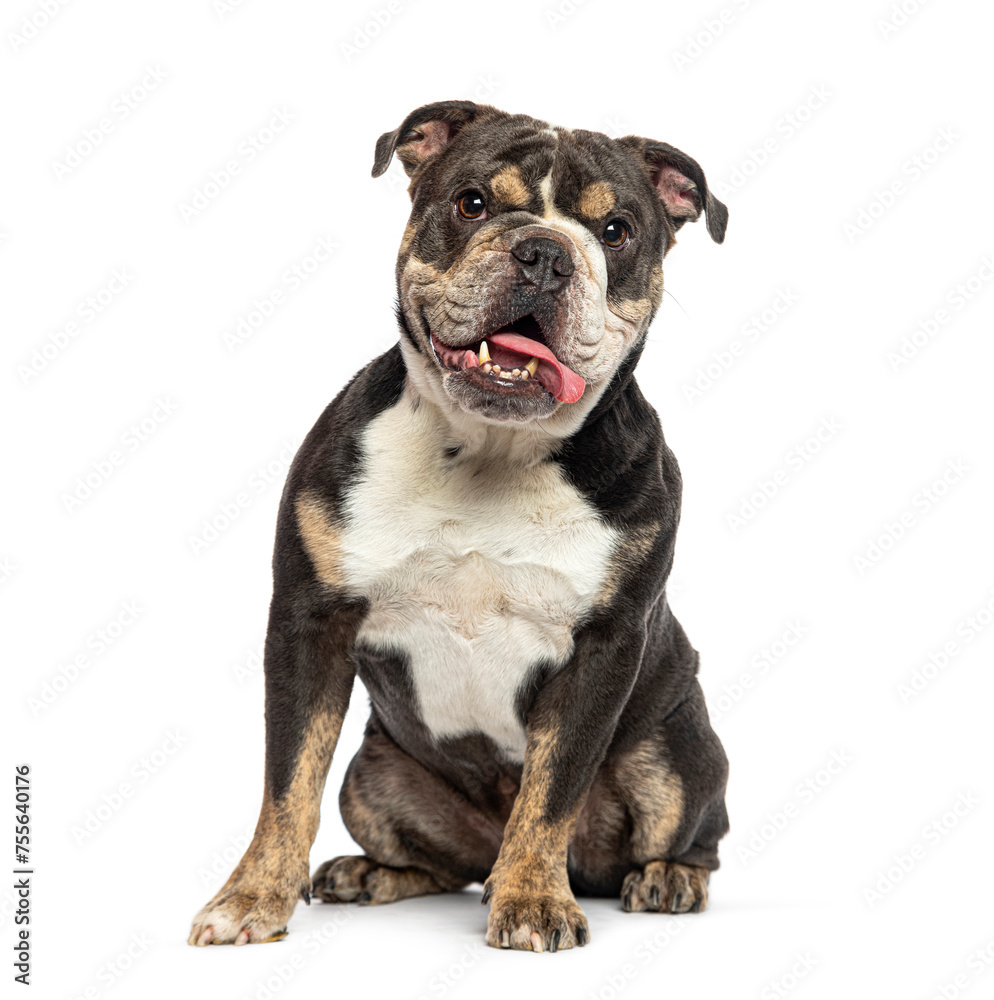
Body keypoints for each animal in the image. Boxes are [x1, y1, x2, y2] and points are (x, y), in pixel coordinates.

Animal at [188, 99, 728, 952]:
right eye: (472, 202)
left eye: (617, 232)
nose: (544, 253)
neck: (490, 450)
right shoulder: (308, 624)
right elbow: (287, 781)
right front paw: (250, 898)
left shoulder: (603, 649)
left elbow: (550, 793)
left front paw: (534, 900)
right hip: (372, 777)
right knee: (434, 856)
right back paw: (370, 874)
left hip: (675, 755)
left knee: (691, 831)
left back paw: (668, 878)